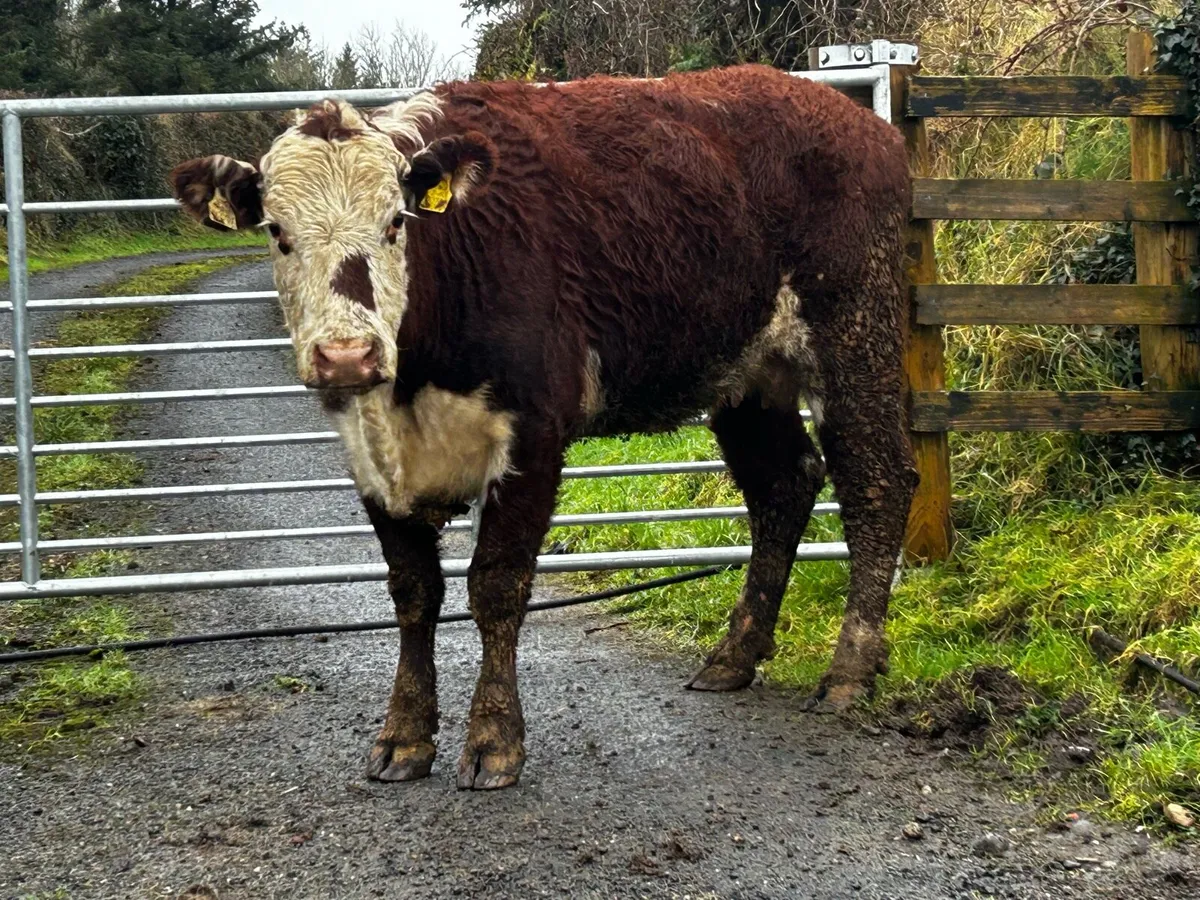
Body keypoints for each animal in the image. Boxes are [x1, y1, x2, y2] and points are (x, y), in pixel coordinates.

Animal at [170, 64, 918, 790]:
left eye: (395, 223)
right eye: (277, 232)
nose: (347, 355)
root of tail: (861, 123)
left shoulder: (532, 430)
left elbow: (496, 586)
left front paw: (494, 740)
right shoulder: (368, 454)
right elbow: (413, 592)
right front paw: (403, 735)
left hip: (855, 333)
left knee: (878, 483)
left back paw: (849, 669)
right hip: (747, 375)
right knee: (783, 486)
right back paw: (733, 655)